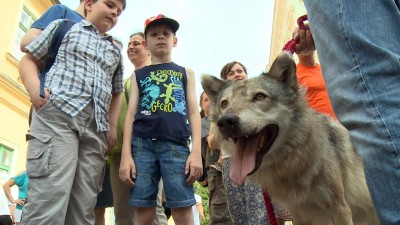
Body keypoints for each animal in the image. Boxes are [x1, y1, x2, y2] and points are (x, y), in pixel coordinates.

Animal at [202, 53, 380, 225]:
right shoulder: (300, 215)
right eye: (224, 104)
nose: (225, 122)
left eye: (259, 96)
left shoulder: (341, 209)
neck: (295, 162)